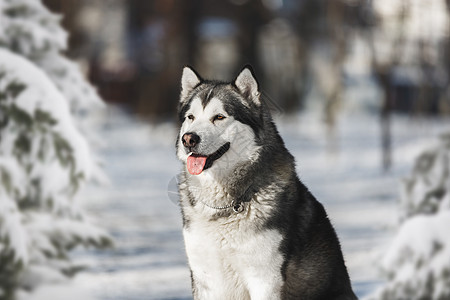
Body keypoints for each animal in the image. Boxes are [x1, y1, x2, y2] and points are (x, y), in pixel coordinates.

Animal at [175, 66, 356, 300]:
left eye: (219, 117)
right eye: (191, 117)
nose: (188, 139)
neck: (227, 204)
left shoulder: (264, 278)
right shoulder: (206, 278)